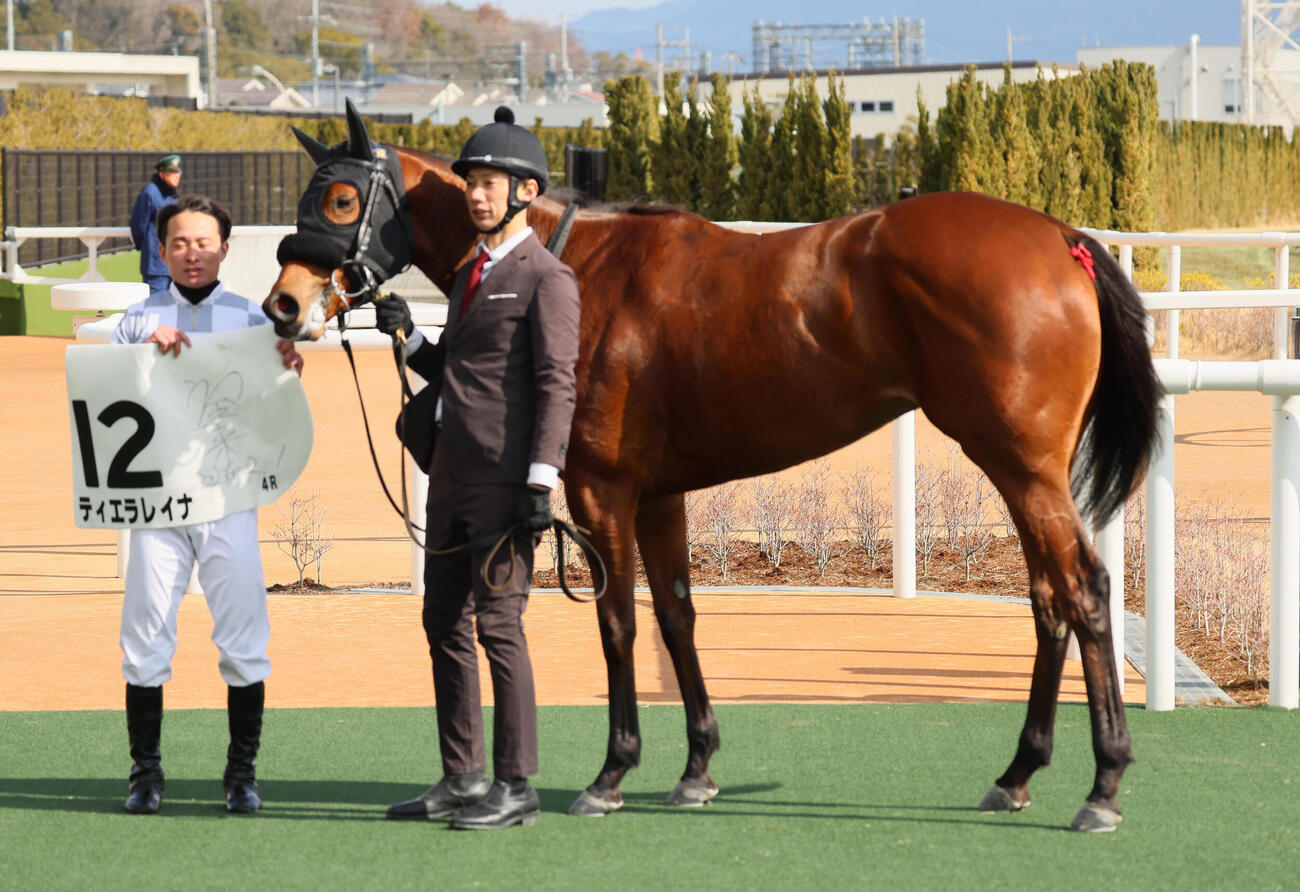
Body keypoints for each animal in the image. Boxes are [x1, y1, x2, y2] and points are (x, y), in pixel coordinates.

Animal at [264, 102, 1160, 832]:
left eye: (340, 200)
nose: (284, 304)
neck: (579, 266)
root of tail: (1061, 239)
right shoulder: (660, 495)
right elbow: (676, 616)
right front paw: (696, 769)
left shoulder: (602, 491)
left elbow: (618, 622)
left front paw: (611, 774)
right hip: (1017, 468)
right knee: (1047, 599)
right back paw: (1018, 773)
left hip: (1023, 466)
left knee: (1083, 590)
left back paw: (1104, 786)